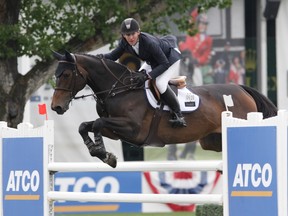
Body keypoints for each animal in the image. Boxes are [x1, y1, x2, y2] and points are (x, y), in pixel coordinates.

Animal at [50, 51, 278, 169]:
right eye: (56, 74)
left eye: (67, 75)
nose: (56, 107)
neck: (119, 89)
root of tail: (242, 89)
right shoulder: (115, 131)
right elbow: (84, 126)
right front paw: (99, 151)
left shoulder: (132, 129)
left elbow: (96, 123)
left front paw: (104, 155)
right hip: (212, 141)